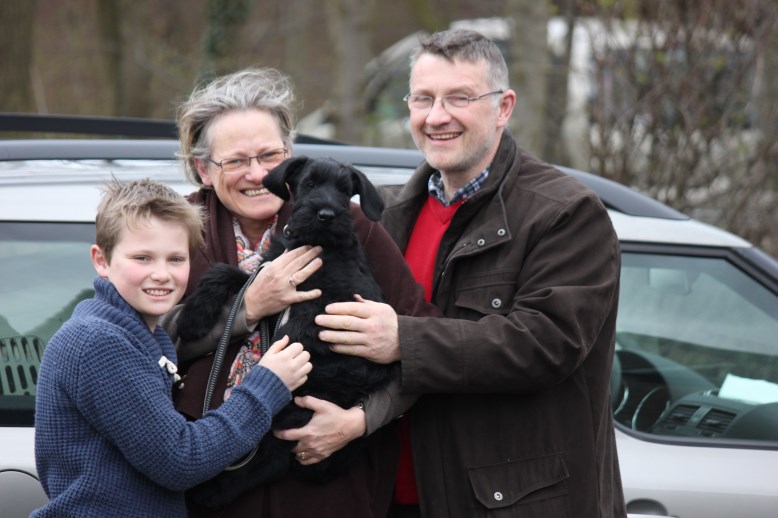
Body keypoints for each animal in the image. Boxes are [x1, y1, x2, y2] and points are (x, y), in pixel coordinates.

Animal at [179, 156, 392, 510]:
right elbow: (228, 274)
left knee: (265, 460)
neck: (316, 245)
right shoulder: (270, 271)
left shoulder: (333, 305)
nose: (326, 215)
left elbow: (292, 332)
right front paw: (192, 317)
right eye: (309, 183)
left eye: (345, 190)